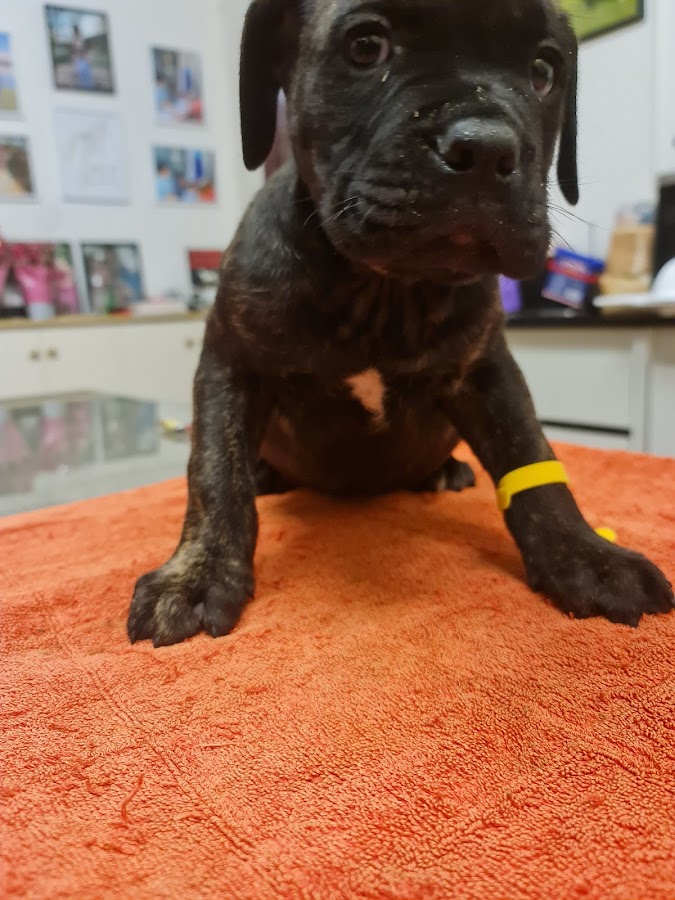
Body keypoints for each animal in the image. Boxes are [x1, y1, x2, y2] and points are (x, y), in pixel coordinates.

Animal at [128, 0, 674, 647]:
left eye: (543, 71)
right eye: (367, 46)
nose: (486, 148)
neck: (384, 289)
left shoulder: (487, 370)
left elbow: (535, 464)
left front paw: (586, 556)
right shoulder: (230, 363)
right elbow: (214, 472)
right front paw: (196, 574)